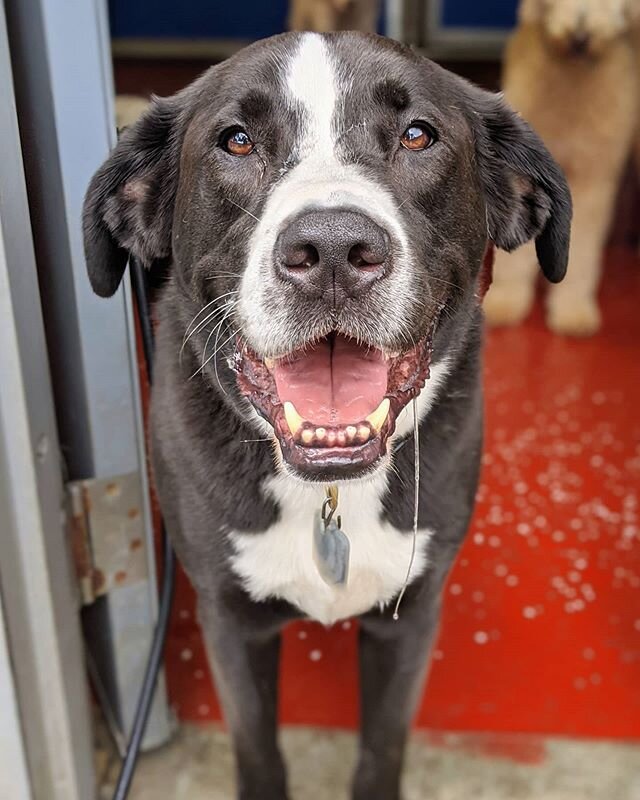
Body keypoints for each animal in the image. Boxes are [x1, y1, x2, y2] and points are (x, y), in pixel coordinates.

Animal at [84, 32, 568, 800]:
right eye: (237, 140)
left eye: (418, 135)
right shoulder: (230, 621)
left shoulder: (411, 615)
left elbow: (383, 746)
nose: (335, 249)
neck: (330, 491)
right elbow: (258, 748)